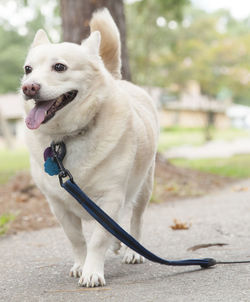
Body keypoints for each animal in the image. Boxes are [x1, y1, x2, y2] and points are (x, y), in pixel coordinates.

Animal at [21, 8, 158, 288]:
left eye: (59, 67)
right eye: (28, 69)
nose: (28, 87)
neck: (67, 137)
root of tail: (116, 79)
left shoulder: (110, 198)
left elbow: (97, 239)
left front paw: (92, 271)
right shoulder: (58, 205)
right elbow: (77, 239)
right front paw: (80, 264)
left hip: (144, 186)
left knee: (136, 219)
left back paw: (132, 251)